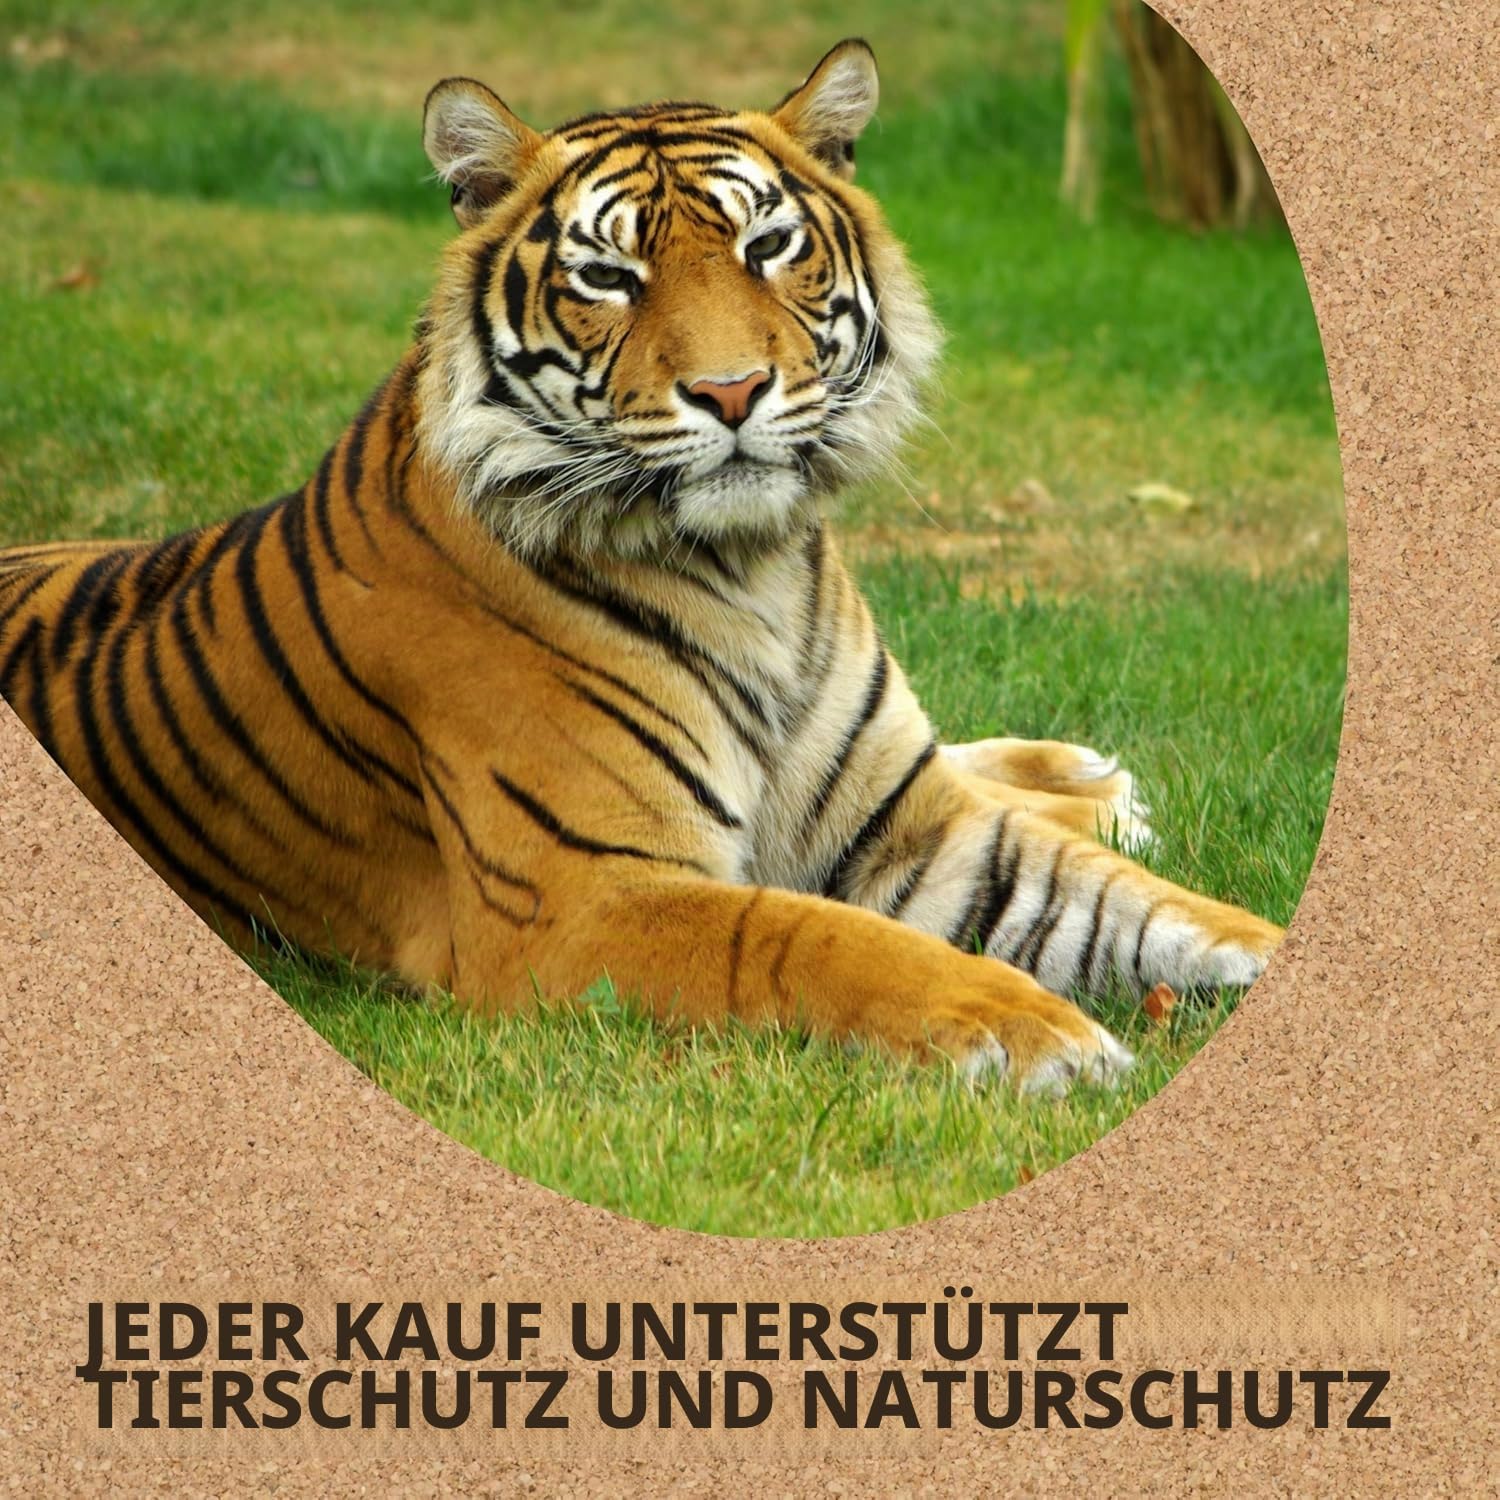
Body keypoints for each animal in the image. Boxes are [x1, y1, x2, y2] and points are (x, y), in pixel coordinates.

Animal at [0, 40, 1282, 1096]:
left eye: (769, 247)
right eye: (608, 279)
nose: (730, 392)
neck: (755, 573)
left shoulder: (917, 825)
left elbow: (1150, 907)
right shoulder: (584, 900)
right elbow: (812, 934)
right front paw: (1038, 1031)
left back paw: (1088, 780)